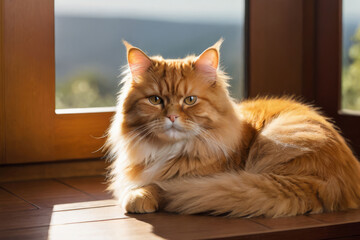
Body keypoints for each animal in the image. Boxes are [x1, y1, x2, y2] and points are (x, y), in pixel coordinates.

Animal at [105, 39, 360, 218]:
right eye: (155, 100)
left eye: (190, 100)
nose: (172, 116)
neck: (167, 150)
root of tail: (332, 183)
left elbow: (153, 186)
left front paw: (141, 197)